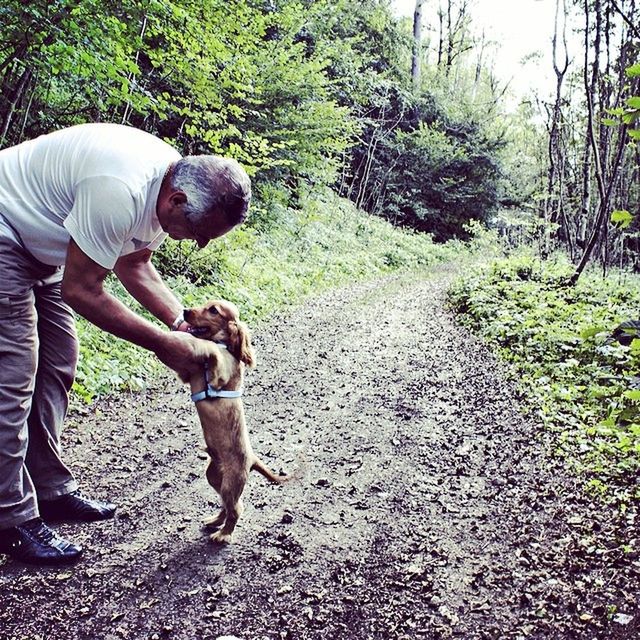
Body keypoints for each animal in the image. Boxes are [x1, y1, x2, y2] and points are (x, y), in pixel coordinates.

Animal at [180, 298, 290, 544]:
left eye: (213, 310)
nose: (184, 311)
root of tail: (252, 459)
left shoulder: (218, 376)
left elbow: (213, 357)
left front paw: (208, 349)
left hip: (231, 483)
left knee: (236, 508)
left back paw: (223, 534)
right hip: (214, 477)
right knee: (227, 504)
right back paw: (215, 521)